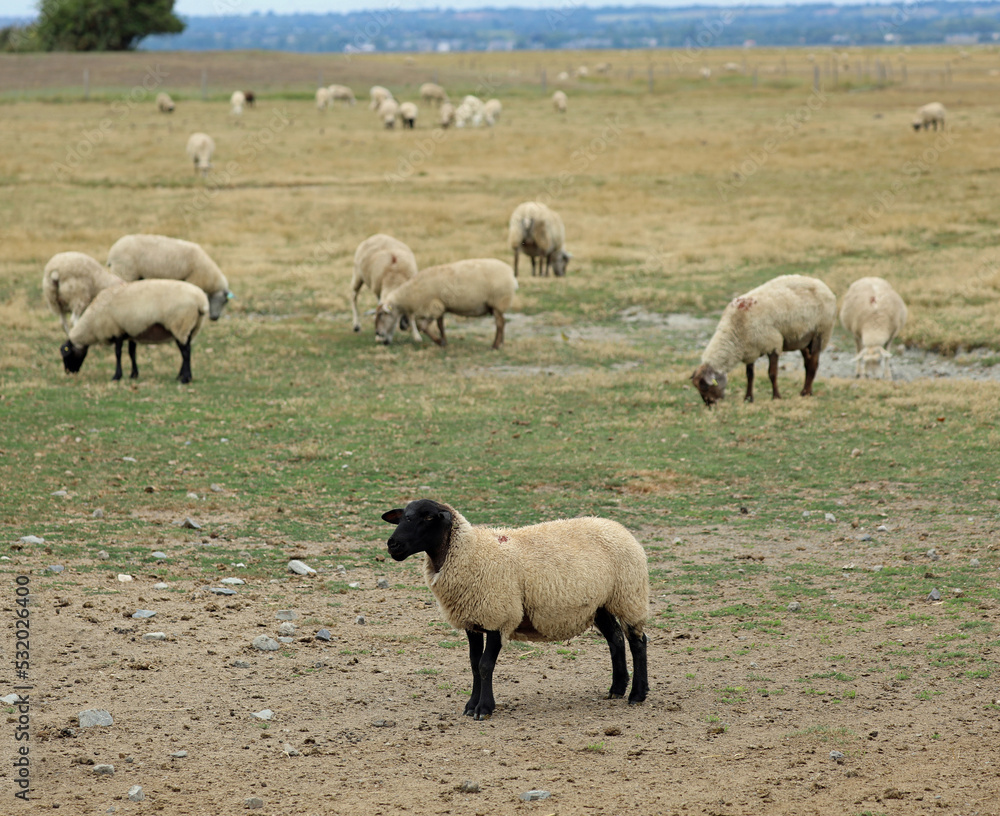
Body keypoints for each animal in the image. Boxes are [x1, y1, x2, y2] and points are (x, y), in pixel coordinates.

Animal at [59, 278, 208, 384]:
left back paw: (185, 379)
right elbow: (132, 353)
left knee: (185, 352)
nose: (68, 372)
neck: (92, 323)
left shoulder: (116, 330)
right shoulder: (131, 331)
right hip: (190, 327)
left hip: (180, 324)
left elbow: (118, 353)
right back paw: (180, 376)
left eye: (66, 353)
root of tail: (201, 301)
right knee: (186, 350)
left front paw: (116, 376)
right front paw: (133, 375)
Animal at [374, 256, 516, 350]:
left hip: (499, 301)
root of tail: (511, 274)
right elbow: (440, 325)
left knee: (500, 324)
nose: (378, 333)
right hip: (495, 305)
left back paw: (495, 345)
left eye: (381, 315)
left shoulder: (431, 307)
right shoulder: (440, 306)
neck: (408, 296)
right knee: (502, 322)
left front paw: (439, 341)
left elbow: (422, 326)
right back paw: (501, 343)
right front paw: (444, 340)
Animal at [380, 498, 648, 720]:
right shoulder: (473, 620)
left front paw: (484, 709)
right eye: (403, 516)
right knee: (615, 639)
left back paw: (637, 694)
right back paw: (616, 689)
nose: (393, 544)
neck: (471, 552)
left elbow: (485, 665)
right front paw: (471, 705)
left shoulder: (498, 615)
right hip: (600, 604)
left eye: (427, 517)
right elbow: (473, 663)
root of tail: (615, 525)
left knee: (637, 641)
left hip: (629, 595)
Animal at [688, 274, 836, 404]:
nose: (710, 404)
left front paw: (776, 397)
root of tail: (821, 284)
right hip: (802, 340)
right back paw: (806, 391)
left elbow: (772, 373)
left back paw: (806, 393)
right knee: (807, 362)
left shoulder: (773, 344)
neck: (734, 330)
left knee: (813, 364)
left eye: (706, 387)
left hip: (820, 332)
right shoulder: (750, 350)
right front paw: (748, 398)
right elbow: (750, 375)